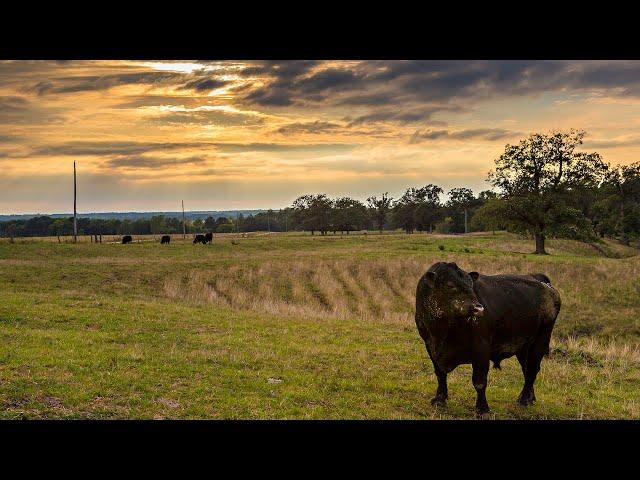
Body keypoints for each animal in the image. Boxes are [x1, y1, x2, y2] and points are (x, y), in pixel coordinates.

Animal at [416, 260, 560, 414]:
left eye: (470, 285)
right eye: (450, 285)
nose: (478, 308)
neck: (442, 332)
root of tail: (541, 281)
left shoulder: (481, 348)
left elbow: (479, 381)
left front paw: (483, 409)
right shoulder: (430, 346)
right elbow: (440, 374)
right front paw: (439, 399)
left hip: (540, 341)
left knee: (532, 369)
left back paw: (523, 400)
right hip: (523, 346)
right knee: (527, 370)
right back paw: (529, 398)